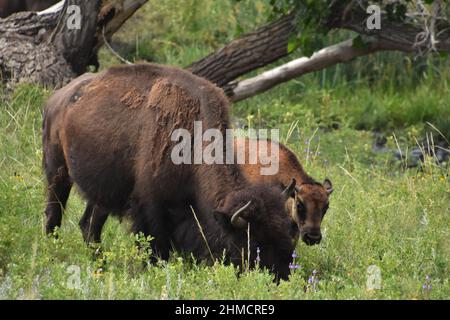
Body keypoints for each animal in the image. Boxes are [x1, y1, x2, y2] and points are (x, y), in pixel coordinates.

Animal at [42, 63, 296, 278]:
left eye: (288, 232)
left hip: (103, 192)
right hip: (57, 171)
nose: (282, 276)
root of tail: (58, 97)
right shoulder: (150, 208)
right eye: (252, 242)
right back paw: (52, 253)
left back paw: (101, 267)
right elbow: (156, 248)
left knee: (89, 226)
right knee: (54, 214)